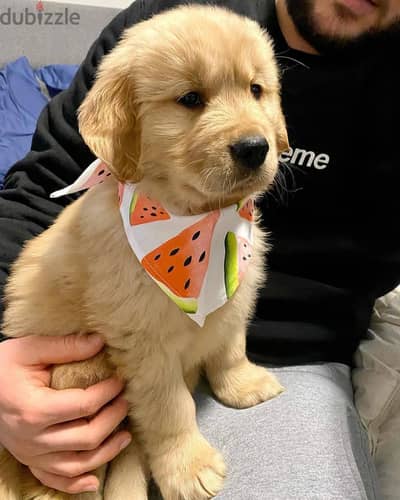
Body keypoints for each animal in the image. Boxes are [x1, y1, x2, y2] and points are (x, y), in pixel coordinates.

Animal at [0, 4, 288, 500]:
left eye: (257, 90)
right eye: (190, 98)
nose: (255, 147)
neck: (201, 221)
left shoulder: (235, 298)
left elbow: (230, 345)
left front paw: (242, 383)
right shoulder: (142, 343)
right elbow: (170, 408)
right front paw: (188, 468)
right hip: (82, 372)